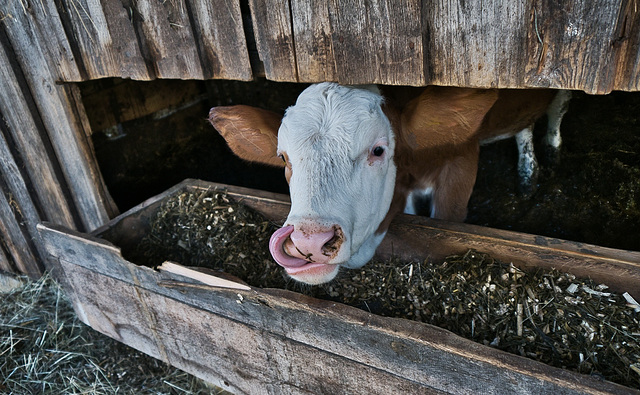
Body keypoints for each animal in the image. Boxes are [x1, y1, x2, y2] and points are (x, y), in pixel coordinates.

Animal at [209, 84, 568, 288]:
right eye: (283, 157)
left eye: (379, 150)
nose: (308, 242)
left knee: (557, 106)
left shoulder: (461, 164)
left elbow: (446, 220)